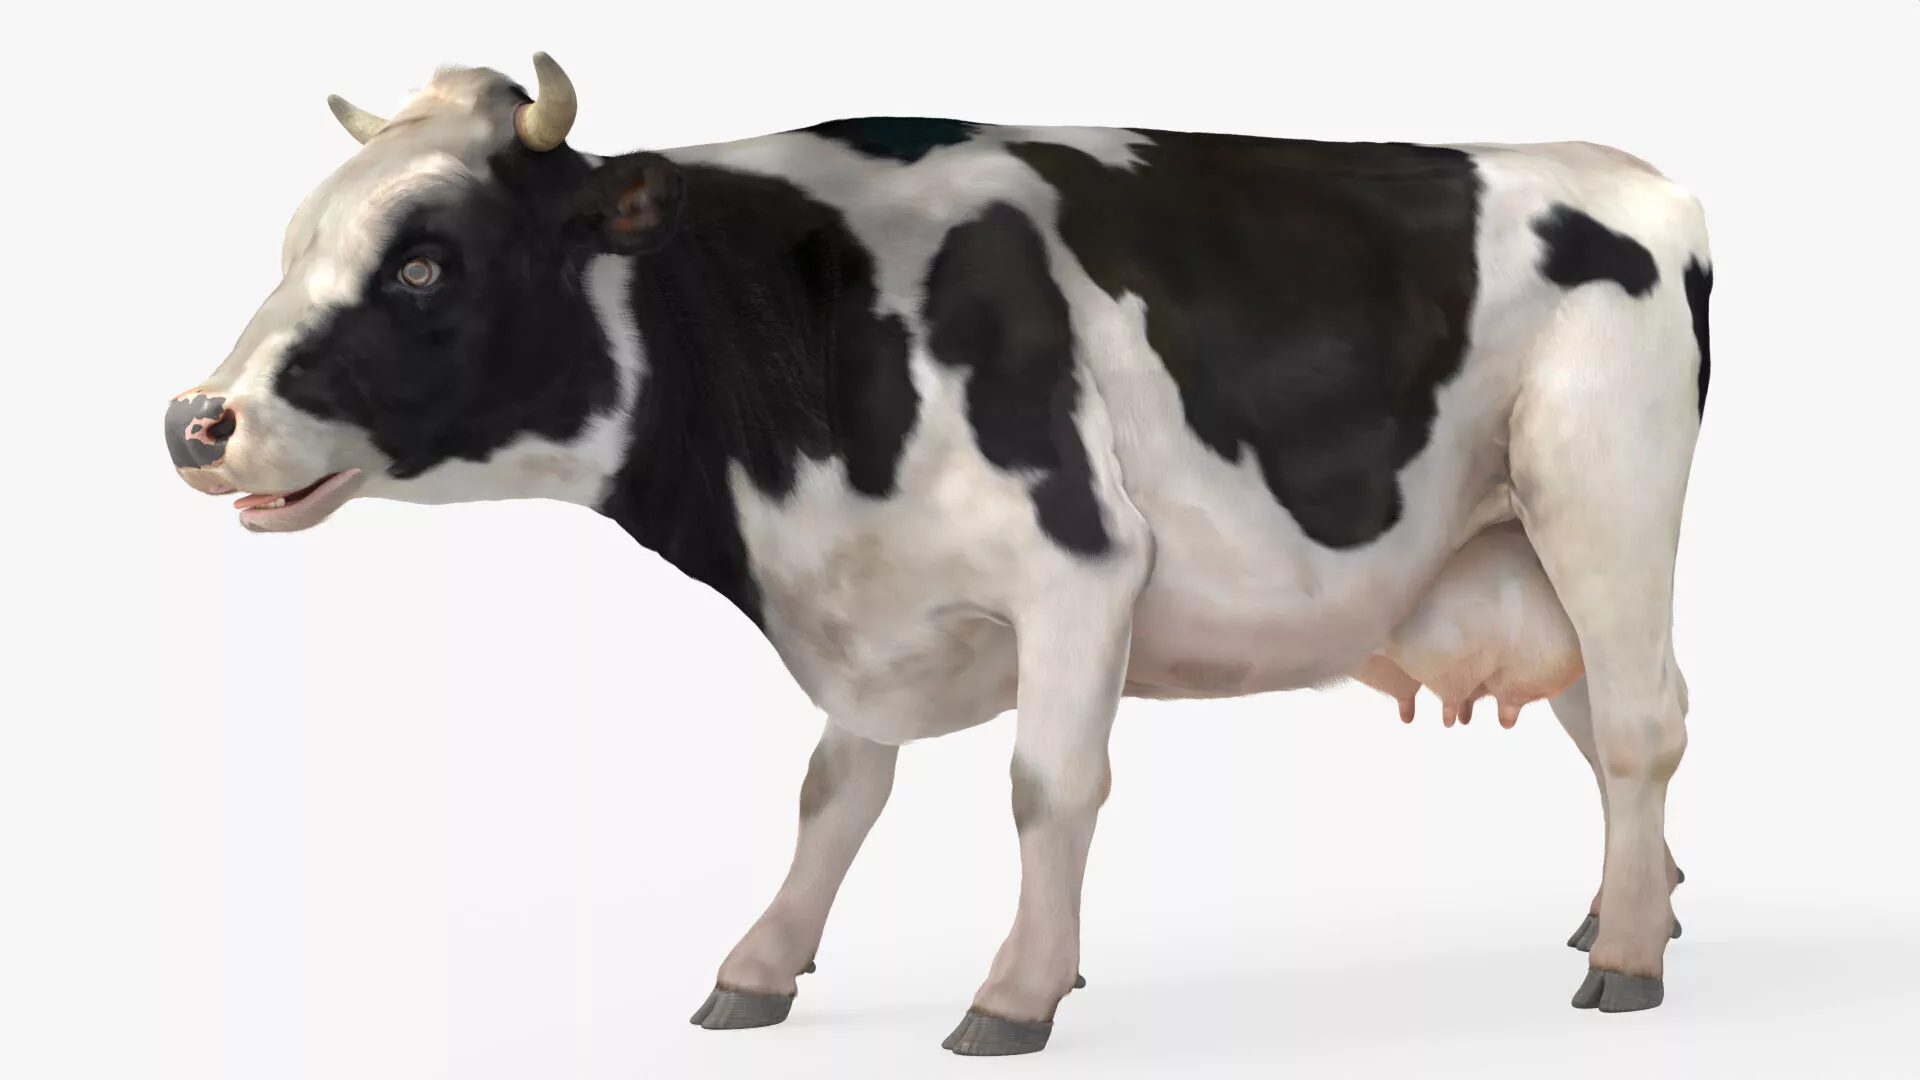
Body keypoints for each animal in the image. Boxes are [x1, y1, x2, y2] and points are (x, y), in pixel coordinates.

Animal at [164, 53, 1712, 1056]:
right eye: (298, 241)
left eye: (426, 260)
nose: (195, 422)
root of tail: (1633, 178)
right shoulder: (863, 597)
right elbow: (832, 796)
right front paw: (759, 971)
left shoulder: (1082, 565)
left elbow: (1047, 787)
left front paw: (1017, 993)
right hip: (1518, 545)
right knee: (1609, 719)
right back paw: (1626, 911)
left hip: (1602, 492)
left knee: (1642, 724)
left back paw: (1629, 961)